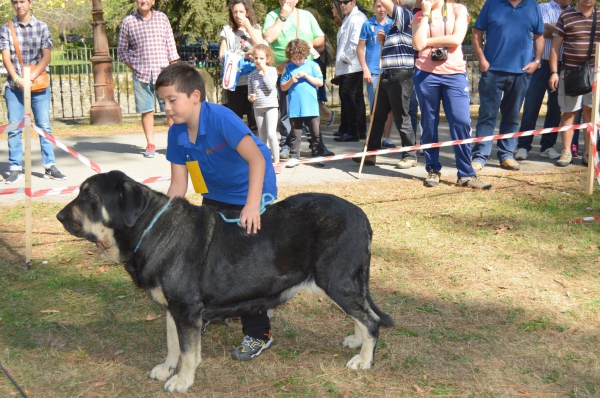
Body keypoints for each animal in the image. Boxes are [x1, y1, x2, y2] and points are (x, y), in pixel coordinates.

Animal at [57, 170, 394, 392]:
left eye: (89, 196)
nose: (60, 216)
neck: (150, 229)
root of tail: (362, 217)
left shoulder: (187, 309)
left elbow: (188, 351)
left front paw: (182, 380)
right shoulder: (172, 308)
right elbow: (173, 344)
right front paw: (167, 369)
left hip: (336, 280)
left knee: (371, 320)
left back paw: (364, 360)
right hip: (343, 283)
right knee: (362, 314)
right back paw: (357, 342)